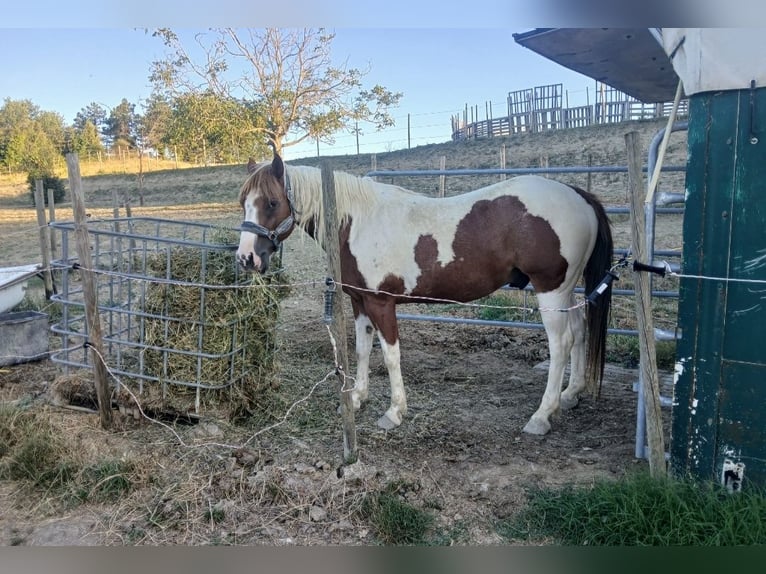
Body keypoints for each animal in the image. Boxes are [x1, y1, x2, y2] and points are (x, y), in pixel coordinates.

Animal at [237, 153, 613, 435]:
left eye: (272, 202)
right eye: (243, 202)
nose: (246, 258)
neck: (357, 222)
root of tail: (578, 195)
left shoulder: (382, 303)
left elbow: (391, 357)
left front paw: (394, 412)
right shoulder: (360, 301)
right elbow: (361, 350)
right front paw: (357, 397)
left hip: (551, 290)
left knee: (561, 344)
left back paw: (542, 415)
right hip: (568, 290)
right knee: (579, 331)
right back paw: (571, 394)